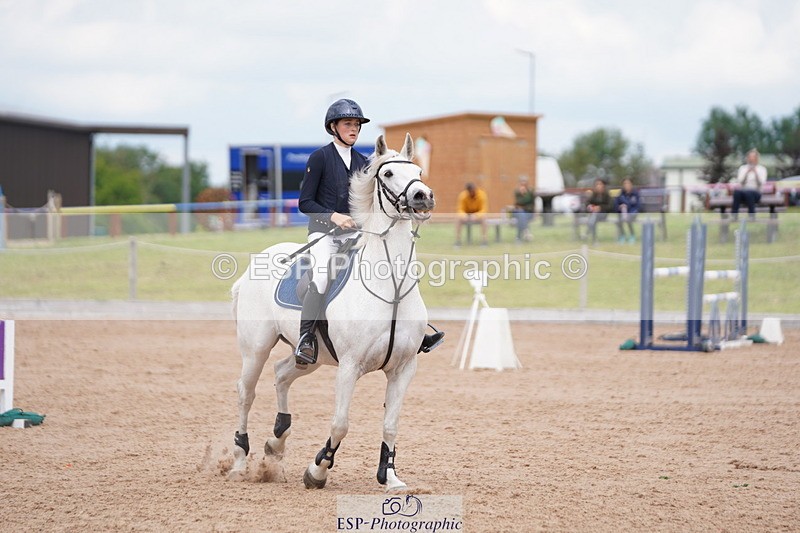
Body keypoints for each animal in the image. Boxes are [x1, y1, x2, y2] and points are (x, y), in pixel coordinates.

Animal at [229, 133, 436, 491]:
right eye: (387, 174)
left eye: (419, 171)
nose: (422, 197)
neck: (391, 288)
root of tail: (256, 263)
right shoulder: (349, 367)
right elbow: (341, 423)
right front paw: (317, 471)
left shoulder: (403, 369)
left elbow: (391, 424)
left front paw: (390, 476)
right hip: (256, 348)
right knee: (247, 392)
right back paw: (241, 461)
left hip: (311, 357)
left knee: (282, 373)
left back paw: (276, 443)